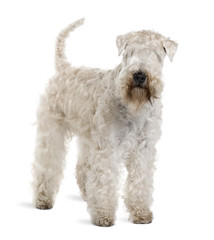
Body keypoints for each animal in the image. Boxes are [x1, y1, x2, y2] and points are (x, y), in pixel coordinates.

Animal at [31, 18, 178, 227]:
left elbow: (140, 182)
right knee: (47, 165)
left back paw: (87, 196)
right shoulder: (108, 146)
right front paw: (103, 215)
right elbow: (105, 180)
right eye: (129, 52)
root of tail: (64, 68)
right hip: (52, 133)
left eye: (156, 53)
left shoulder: (143, 148)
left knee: (83, 168)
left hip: (88, 138)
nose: (139, 75)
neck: (135, 107)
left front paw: (141, 212)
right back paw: (43, 199)